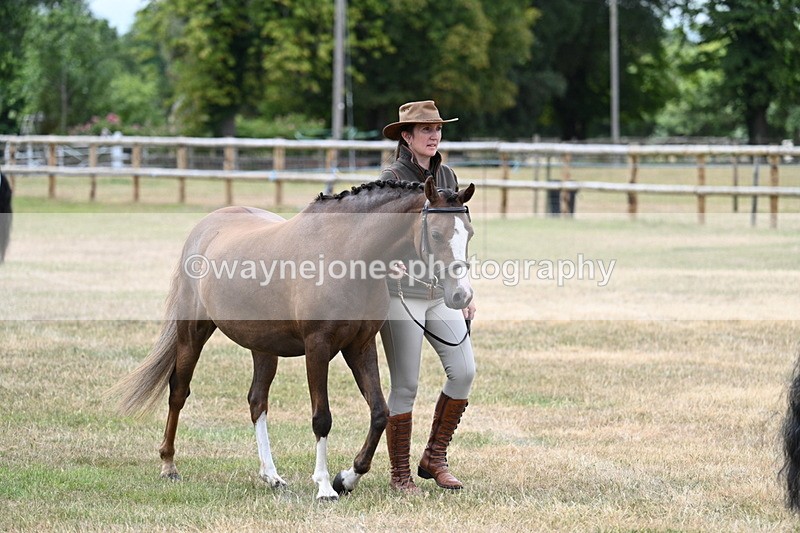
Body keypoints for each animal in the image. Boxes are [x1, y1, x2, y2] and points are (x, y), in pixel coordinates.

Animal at [109, 177, 475, 500]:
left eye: (468, 232)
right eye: (437, 233)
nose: (461, 295)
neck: (346, 254)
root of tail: (205, 227)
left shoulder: (360, 347)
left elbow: (380, 413)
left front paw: (348, 478)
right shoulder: (318, 348)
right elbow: (322, 419)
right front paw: (325, 486)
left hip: (262, 347)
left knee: (257, 401)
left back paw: (271, 476)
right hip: (192, 333)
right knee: (178, 393)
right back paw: (168, 465)